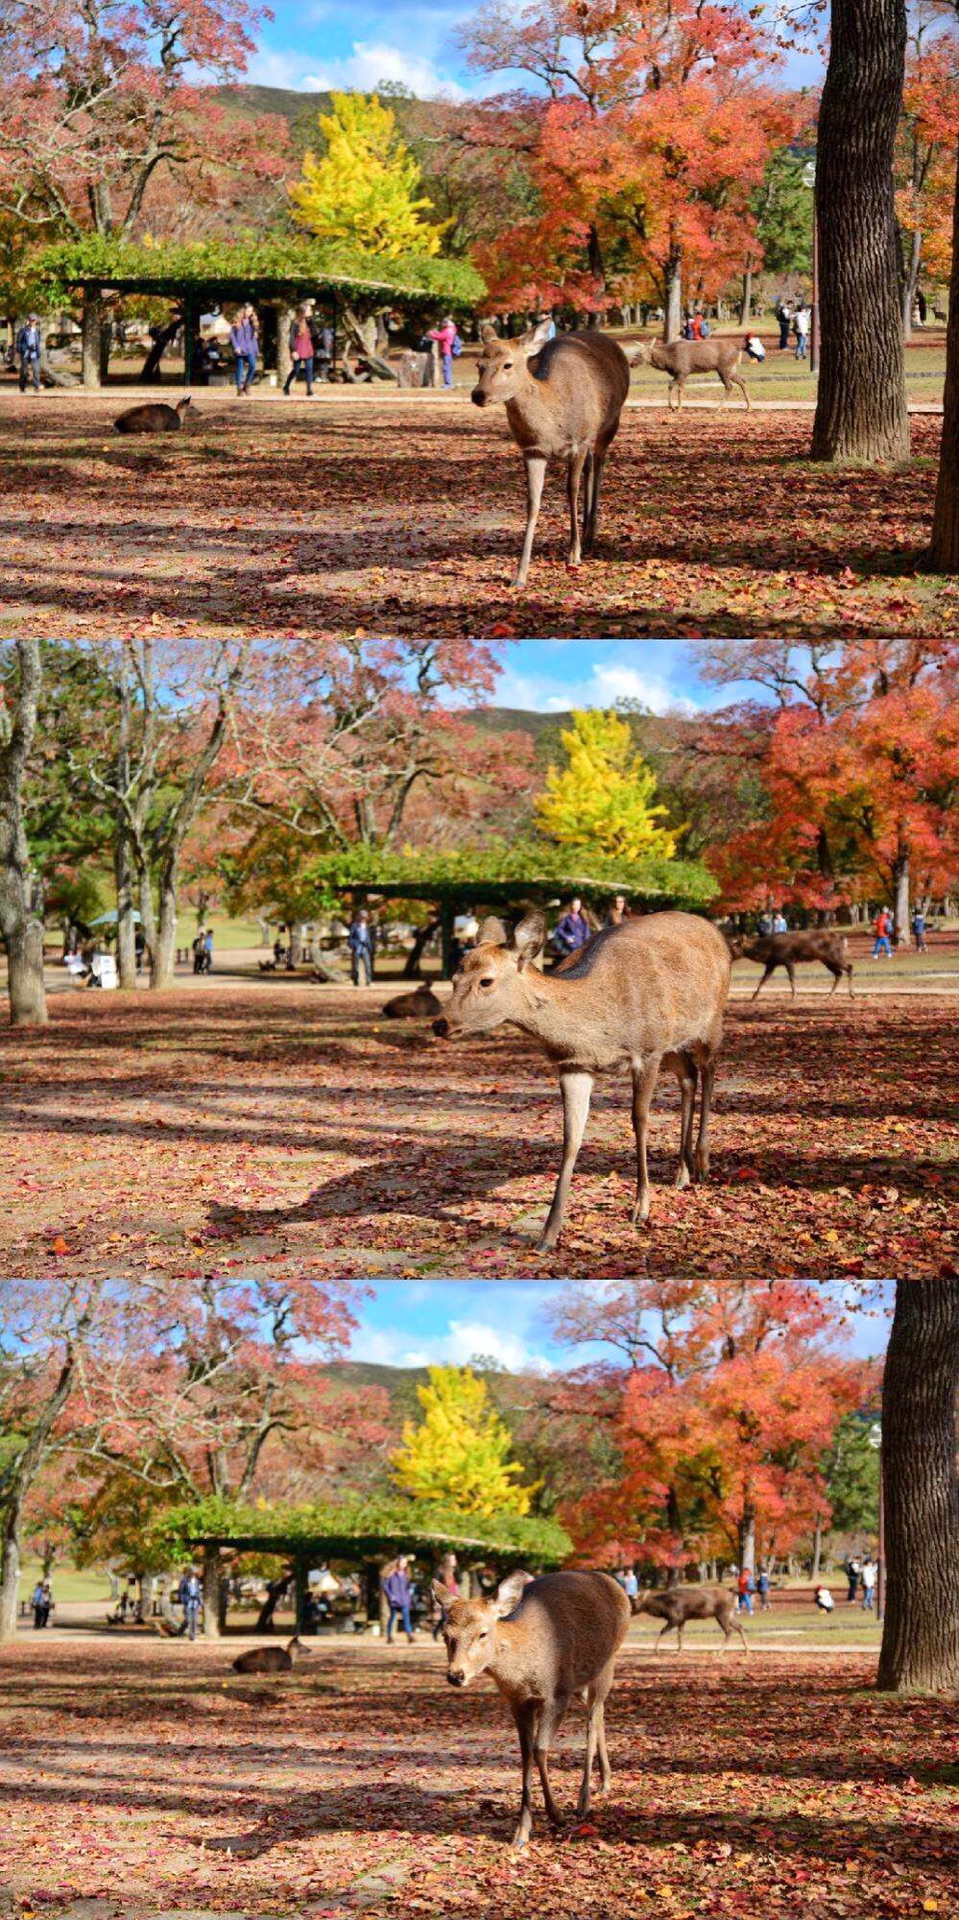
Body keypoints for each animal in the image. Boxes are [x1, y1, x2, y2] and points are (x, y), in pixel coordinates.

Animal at [432, 910, 730, 1251]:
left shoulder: (648, 1051)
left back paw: (702, 1164)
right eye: (453, 980)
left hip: (710, 1021)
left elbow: (640, 1120)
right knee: (688, 1075)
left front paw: (641, 1207)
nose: (440, 1024)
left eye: (486, 980)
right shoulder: (574, 1066)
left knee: (709, 1070)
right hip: (673, 1043)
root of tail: (715, 931)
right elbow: (571, 1137)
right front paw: (548, 1234)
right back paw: (683, 1173)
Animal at [434, 1574, 630, 1843]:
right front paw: (522, 1831)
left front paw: (557, 1815)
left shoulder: (556, 1694)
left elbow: (539, 1749)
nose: (456, 1675)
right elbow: (526, 1753)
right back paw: (605, 1781)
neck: (523, 1675)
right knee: (599, 1713)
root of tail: (612, 1582)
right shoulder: (518, 1702)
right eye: (445, 1634)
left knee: (593, 1719)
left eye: (483, 1633)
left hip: (606, 1663)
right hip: (581, 1682)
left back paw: (584, 1801)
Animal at [470, 320, 634, 583]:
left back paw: (590, 532)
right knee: (591, 465)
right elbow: (533, 502)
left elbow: (571, 490)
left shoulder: (578, 441)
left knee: (599, 462)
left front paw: (573, 554)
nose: (478, 394)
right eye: (479, 365)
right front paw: (520, 573)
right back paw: (587, 532)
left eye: (508, 364)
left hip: (610, 420)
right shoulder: (532, 450)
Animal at [634, 334, 768, 408]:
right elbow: (672, 386)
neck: (668, 362)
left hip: (723, 368)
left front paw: (678, 408)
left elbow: (678, 389)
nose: (631, 364)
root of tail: (738, 349)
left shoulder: (683, 371)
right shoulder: (680, 373)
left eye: (639, 354)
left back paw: (719, 408)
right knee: (742, 381)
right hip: (731, 369)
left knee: (729, 386)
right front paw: (672, 407)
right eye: (637, 352)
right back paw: (749, 407)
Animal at [726, 933, 857, 1006]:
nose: (728, 955)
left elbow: (791, 978)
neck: (766, 952)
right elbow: (763, 980)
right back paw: (830, 996)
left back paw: (851, 995)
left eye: (733, 946)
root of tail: (843, 939)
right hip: (826, 960)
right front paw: (753, 998)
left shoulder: (788, 959)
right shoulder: (771, 964)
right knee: (839, 973)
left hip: (833, 956)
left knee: (849, 967)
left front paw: (794, 997)